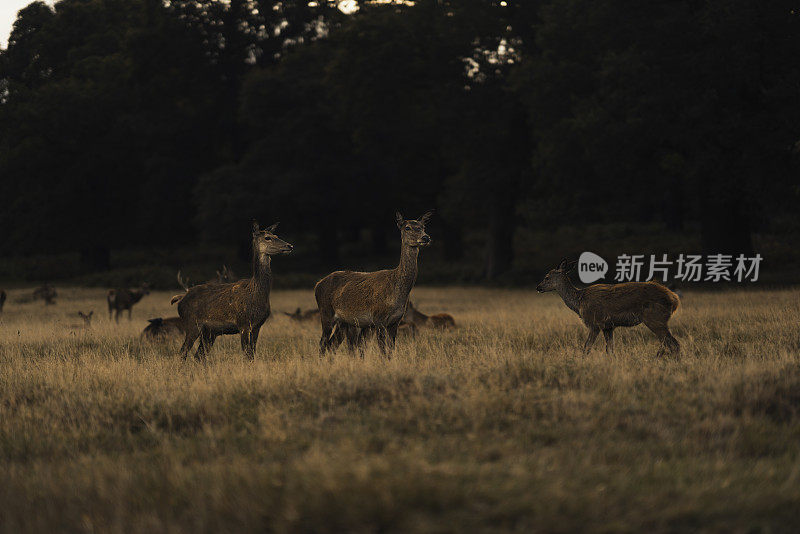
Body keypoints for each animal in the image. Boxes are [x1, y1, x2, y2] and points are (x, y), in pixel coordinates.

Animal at [172, 220, 294, 362]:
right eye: (267, 237)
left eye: (276, 235)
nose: (290, 245)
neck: (256, 293)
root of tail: (181, 299)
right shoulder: (243, 323)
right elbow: (247, 355)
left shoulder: (257, 326)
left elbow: (252, 354)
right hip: (192, 323)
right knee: (183, 352)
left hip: (209, 332)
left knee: (198, 356)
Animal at [316, 211, 434, 358]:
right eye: (407, 227)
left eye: (423, 226)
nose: (426, 237)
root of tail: (317, 284)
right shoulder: (379, 319)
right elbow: (383, 351)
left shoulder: (396, 321)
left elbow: (391, 350)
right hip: (326, 312)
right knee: (323, 342)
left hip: (344, 321)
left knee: (332, 344)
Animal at [536, 258, 680, 356]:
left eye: (547, 277)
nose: (538, 287)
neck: (579, 301)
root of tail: (674, 299)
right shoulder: (608, 326)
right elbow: (610, 350)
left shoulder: (594, 323)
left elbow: (586, 347)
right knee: (669, 343)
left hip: (655, 318)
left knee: (674, 344)